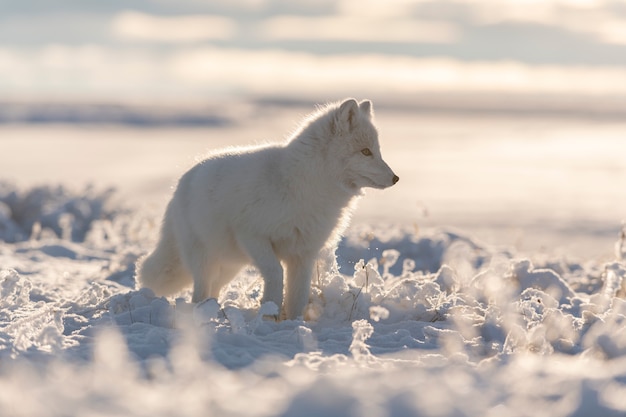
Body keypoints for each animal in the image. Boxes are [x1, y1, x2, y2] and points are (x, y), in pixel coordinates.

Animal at [138, 98, 398, 318]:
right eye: (366, 151)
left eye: (377, 150)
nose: (395, 178)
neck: (304, 187)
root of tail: (183, 180)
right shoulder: (252, 236)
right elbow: (275, 275)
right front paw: (269, 314)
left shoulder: (303, 253)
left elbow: (298, 296)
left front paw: (293, 324)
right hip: (205, 260)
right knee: (199, 292)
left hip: (230, 267)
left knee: (214, 290)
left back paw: (214, 311)